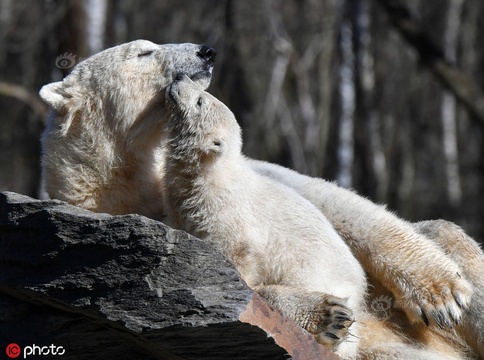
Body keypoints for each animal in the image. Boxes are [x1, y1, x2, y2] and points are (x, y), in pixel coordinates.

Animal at [40, 41, 484, 358]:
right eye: (143, 51)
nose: (206, 51)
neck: (132, 180)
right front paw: (328, 315)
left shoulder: (258, 178)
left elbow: (340, 207)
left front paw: (442, 295)